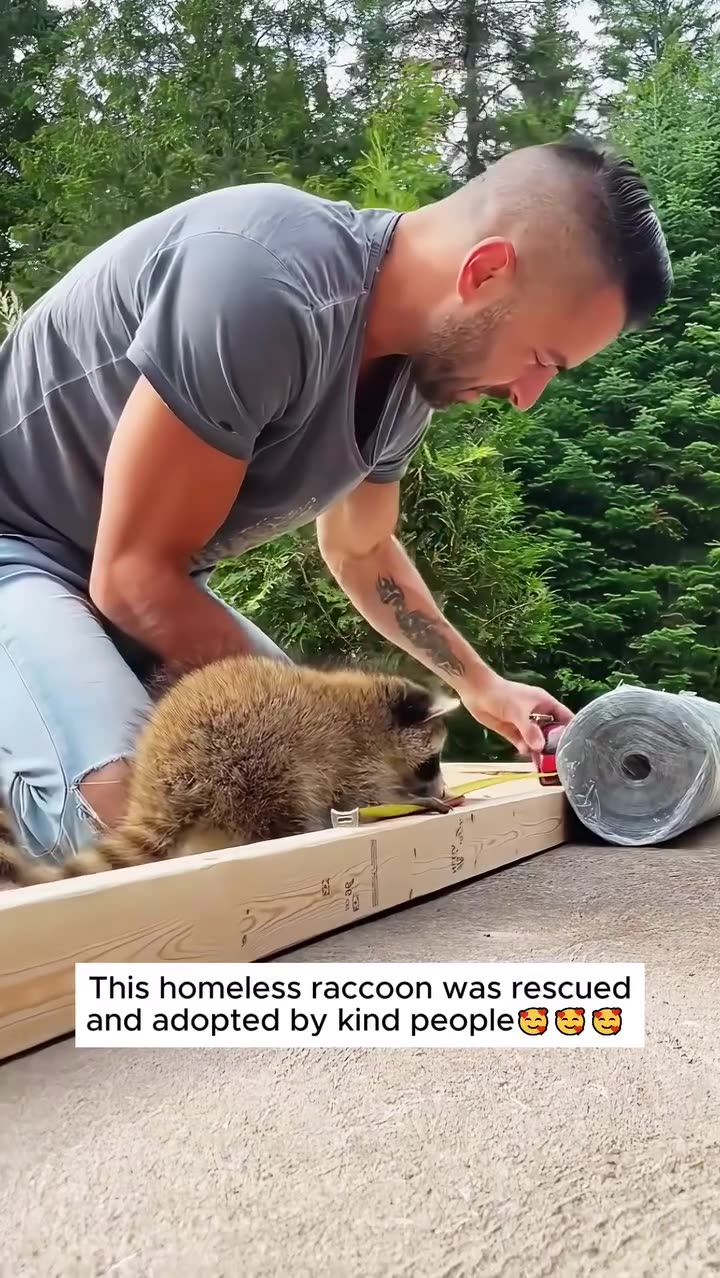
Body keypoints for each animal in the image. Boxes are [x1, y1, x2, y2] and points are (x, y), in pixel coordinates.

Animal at [0, 654, 460, 888]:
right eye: (431, 762)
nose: (438, 786)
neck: (373, 712)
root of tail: (159, 781)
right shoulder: (348, 754)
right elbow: (363, 798)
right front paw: (416, 802)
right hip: (247, 765)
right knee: (283, 809)